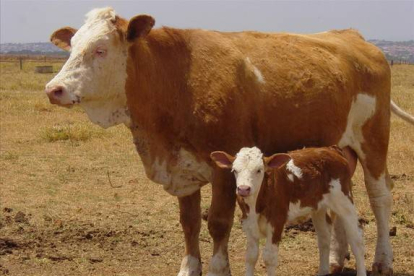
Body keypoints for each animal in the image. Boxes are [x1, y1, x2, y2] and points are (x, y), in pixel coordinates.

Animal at [210, 146, 366, 274]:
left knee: (356, 239)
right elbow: (251, 256)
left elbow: (269, 257)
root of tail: (332, 149)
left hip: (344, 201)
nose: (243, 189)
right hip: (318, 208)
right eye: (235, 170)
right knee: (324, 237)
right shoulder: (248, 222)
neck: (257, 204)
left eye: (259, 170)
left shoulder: (277, 221)